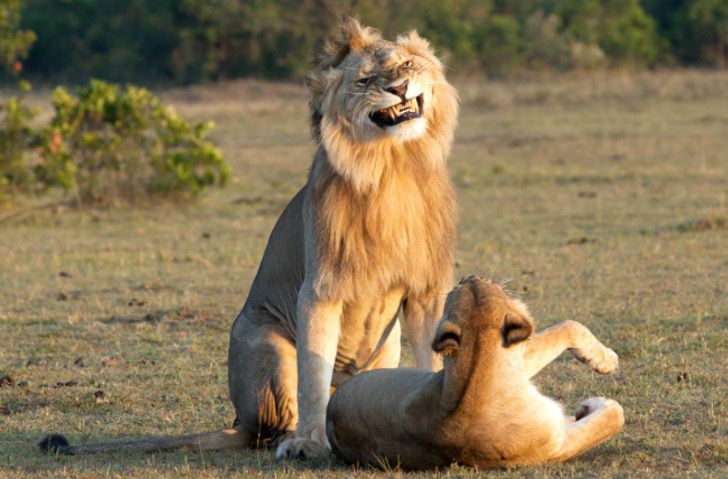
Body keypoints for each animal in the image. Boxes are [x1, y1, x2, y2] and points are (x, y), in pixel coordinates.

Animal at [39, 19, 458, 462]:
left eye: (407, 64)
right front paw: (310, 442)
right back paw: (294, 441)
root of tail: (239, 419)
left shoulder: (426, 291)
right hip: (267, 342)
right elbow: (313, 374)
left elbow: (432, 360)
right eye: (365, 80)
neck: (393, 166)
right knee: (278, 422)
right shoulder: (320, 289)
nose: (399, 87)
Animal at [328, 276, 624, 470]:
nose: (468, 276)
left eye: (462, 287)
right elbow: (612, 416)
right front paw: (604, 371)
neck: (476, 373)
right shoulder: (554, 446)